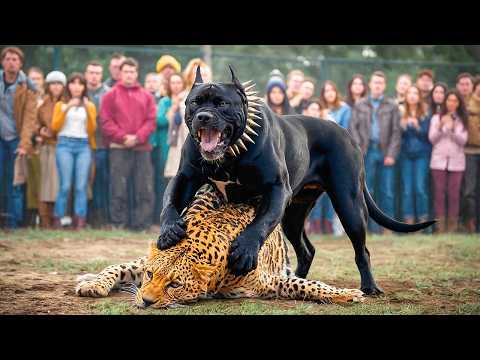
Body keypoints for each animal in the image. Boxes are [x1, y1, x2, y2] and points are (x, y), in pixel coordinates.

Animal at [77, 184, 364, 308]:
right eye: (151, 275)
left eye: (175, 285)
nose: (146, 302)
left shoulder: (273, 282)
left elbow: (308, 285)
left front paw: (346, 294)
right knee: (118, 266)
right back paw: (90, 281)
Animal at [158, 67, 436, 296]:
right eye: (195, 102)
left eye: (221, 103)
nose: (203, 116)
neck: (229, 156)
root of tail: (346, 133)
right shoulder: (185, 178)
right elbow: (168, 203)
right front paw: (169, 231)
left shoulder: (276, 189)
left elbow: (259, 224)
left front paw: (245, 252)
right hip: (294, 216)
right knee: (306, 250)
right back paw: (295, 281)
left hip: (349, 205)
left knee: (362, 251)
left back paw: (369, 287)